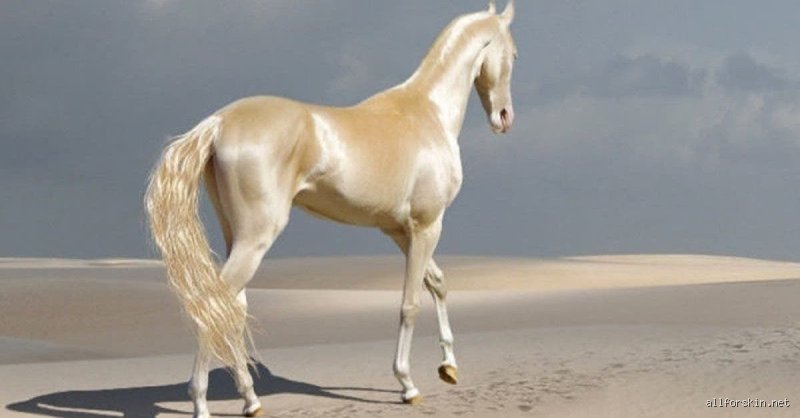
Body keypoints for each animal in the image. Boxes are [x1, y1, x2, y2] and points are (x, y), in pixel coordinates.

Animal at [145, 2, 517, 417]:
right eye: (514, 54)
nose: (504, 117)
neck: (427, 113)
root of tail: (219, 121)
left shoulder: (400, 230)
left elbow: (437, 283)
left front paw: (449, 366)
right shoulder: (427, 225)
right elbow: (410, 303)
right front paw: (407, 384)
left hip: (235, 236)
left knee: (231, 308)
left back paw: (251, 399)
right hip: (256, 238)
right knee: (213, 305)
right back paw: (201, 403)